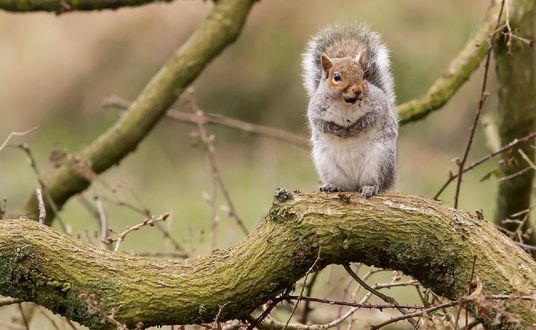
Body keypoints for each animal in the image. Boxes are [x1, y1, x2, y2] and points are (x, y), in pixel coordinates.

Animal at [302, 23, 398, 196]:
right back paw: (331, 186)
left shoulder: (378, 104)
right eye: (337, 77)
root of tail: (355, 184)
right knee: (343, 185)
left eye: (363, 76)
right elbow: (321, 124)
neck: (345, 103)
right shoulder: (315, 111)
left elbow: (371, 117)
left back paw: (370, 187)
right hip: (327, 164)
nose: (358, 90)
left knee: (377, 182)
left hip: (380, 160)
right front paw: (338, 130)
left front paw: (355, 128)